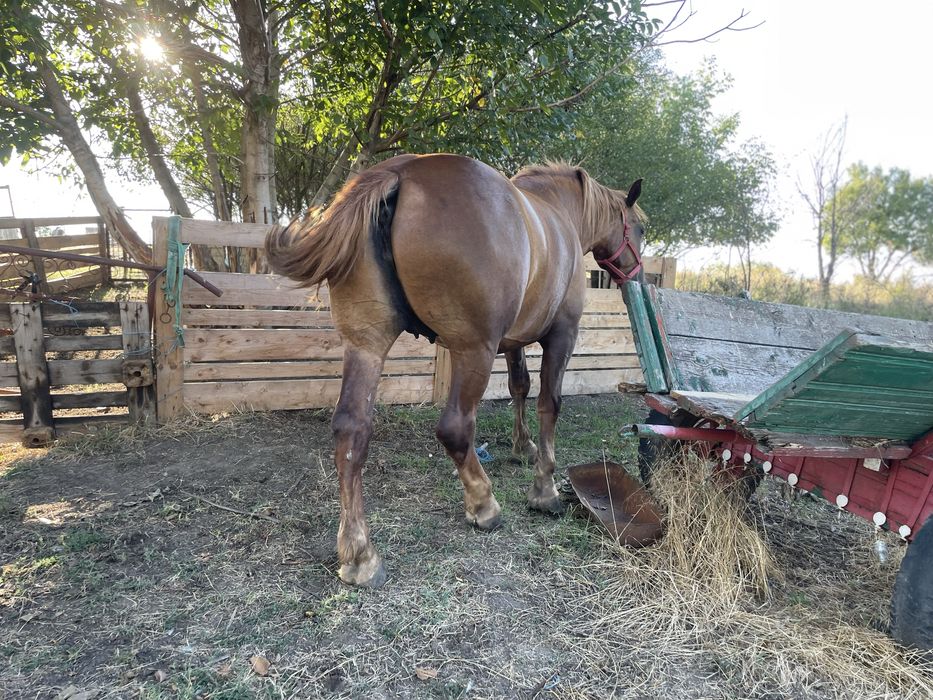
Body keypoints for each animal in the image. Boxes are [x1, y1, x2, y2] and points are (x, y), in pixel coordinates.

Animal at [265, 153, 646, 587]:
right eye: (639, 228)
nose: (636, 275)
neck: (560, 213)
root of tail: (402, 172)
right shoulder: (561, 335)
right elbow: (549, 404)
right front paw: (544, 489)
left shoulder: (512, 340)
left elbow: (519, 386)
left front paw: (522, 447)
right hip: (472, 350)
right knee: (455, 428)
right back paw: (483, 504)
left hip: (366, 346)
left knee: (351, 431)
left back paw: (360, 554)